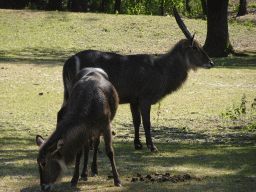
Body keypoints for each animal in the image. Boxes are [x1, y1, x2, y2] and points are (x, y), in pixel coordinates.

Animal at [59, 7, 213, 152]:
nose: (210, 62)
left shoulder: (134, 100)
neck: (160, 69)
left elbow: (136, 121)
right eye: (195, 47)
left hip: (68, 92)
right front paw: (152, 146)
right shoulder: (146, 97)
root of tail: (71, 60)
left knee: (61, 113)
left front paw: (138, 144)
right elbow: (147, 122)